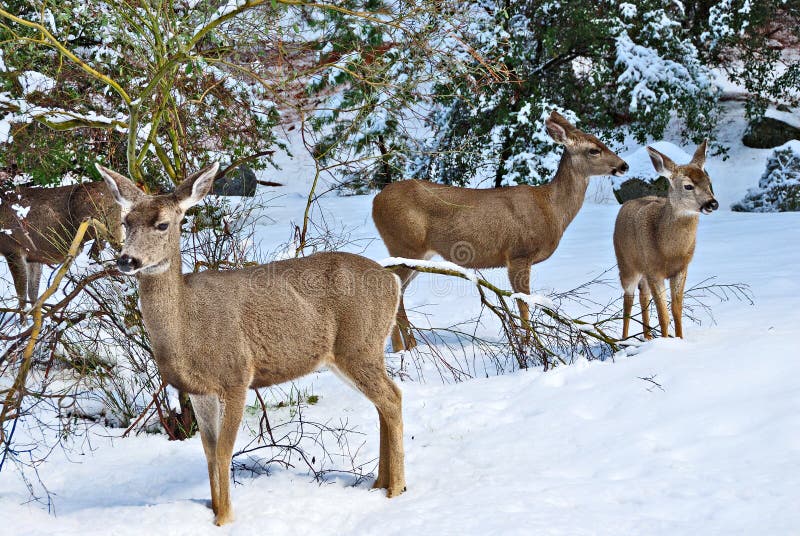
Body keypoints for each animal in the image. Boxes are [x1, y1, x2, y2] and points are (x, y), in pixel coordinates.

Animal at [1, 181, 121, 321]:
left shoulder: (12, 249)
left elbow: (21, 294)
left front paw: (23, 321)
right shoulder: (34, 256)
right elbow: (33, 293)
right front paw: (37, 319)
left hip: (95, 224)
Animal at [95, 163, 405, 526]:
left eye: (162, 224)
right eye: (126, 221)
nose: (126, 260)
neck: (187, 330)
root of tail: (392, 279)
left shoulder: (236, 375)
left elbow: (224, 450)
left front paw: (226, 518)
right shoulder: (199, 389)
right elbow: (209, 450)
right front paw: (214, 510)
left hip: (359, 345)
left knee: (392, 397)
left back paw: (396, 489)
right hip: (352, 352)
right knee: (383, 402)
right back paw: (379, 483)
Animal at [372, 111, 629, 351]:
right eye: (594, 150)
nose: (624, 165)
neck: (551, 209)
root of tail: (376, 201)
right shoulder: (519, 253)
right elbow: (523, 304)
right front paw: (530, 346)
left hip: (418, 254)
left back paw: (403, 348)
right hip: (406, 243)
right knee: (390, 286)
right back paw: (404, 348)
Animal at [613, 141, 718, 340]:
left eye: (709, 182)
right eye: (688, 186)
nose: (712, 203)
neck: (669, 251)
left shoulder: (681, 269)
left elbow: (676, 310)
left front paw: (680, 339)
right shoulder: (654, 270)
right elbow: (663, 315)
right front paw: (666, 341)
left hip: (642, 271)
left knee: (643, 296)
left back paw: (647, 337)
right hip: (626, 264)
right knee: (627, 299)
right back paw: (624, 339)